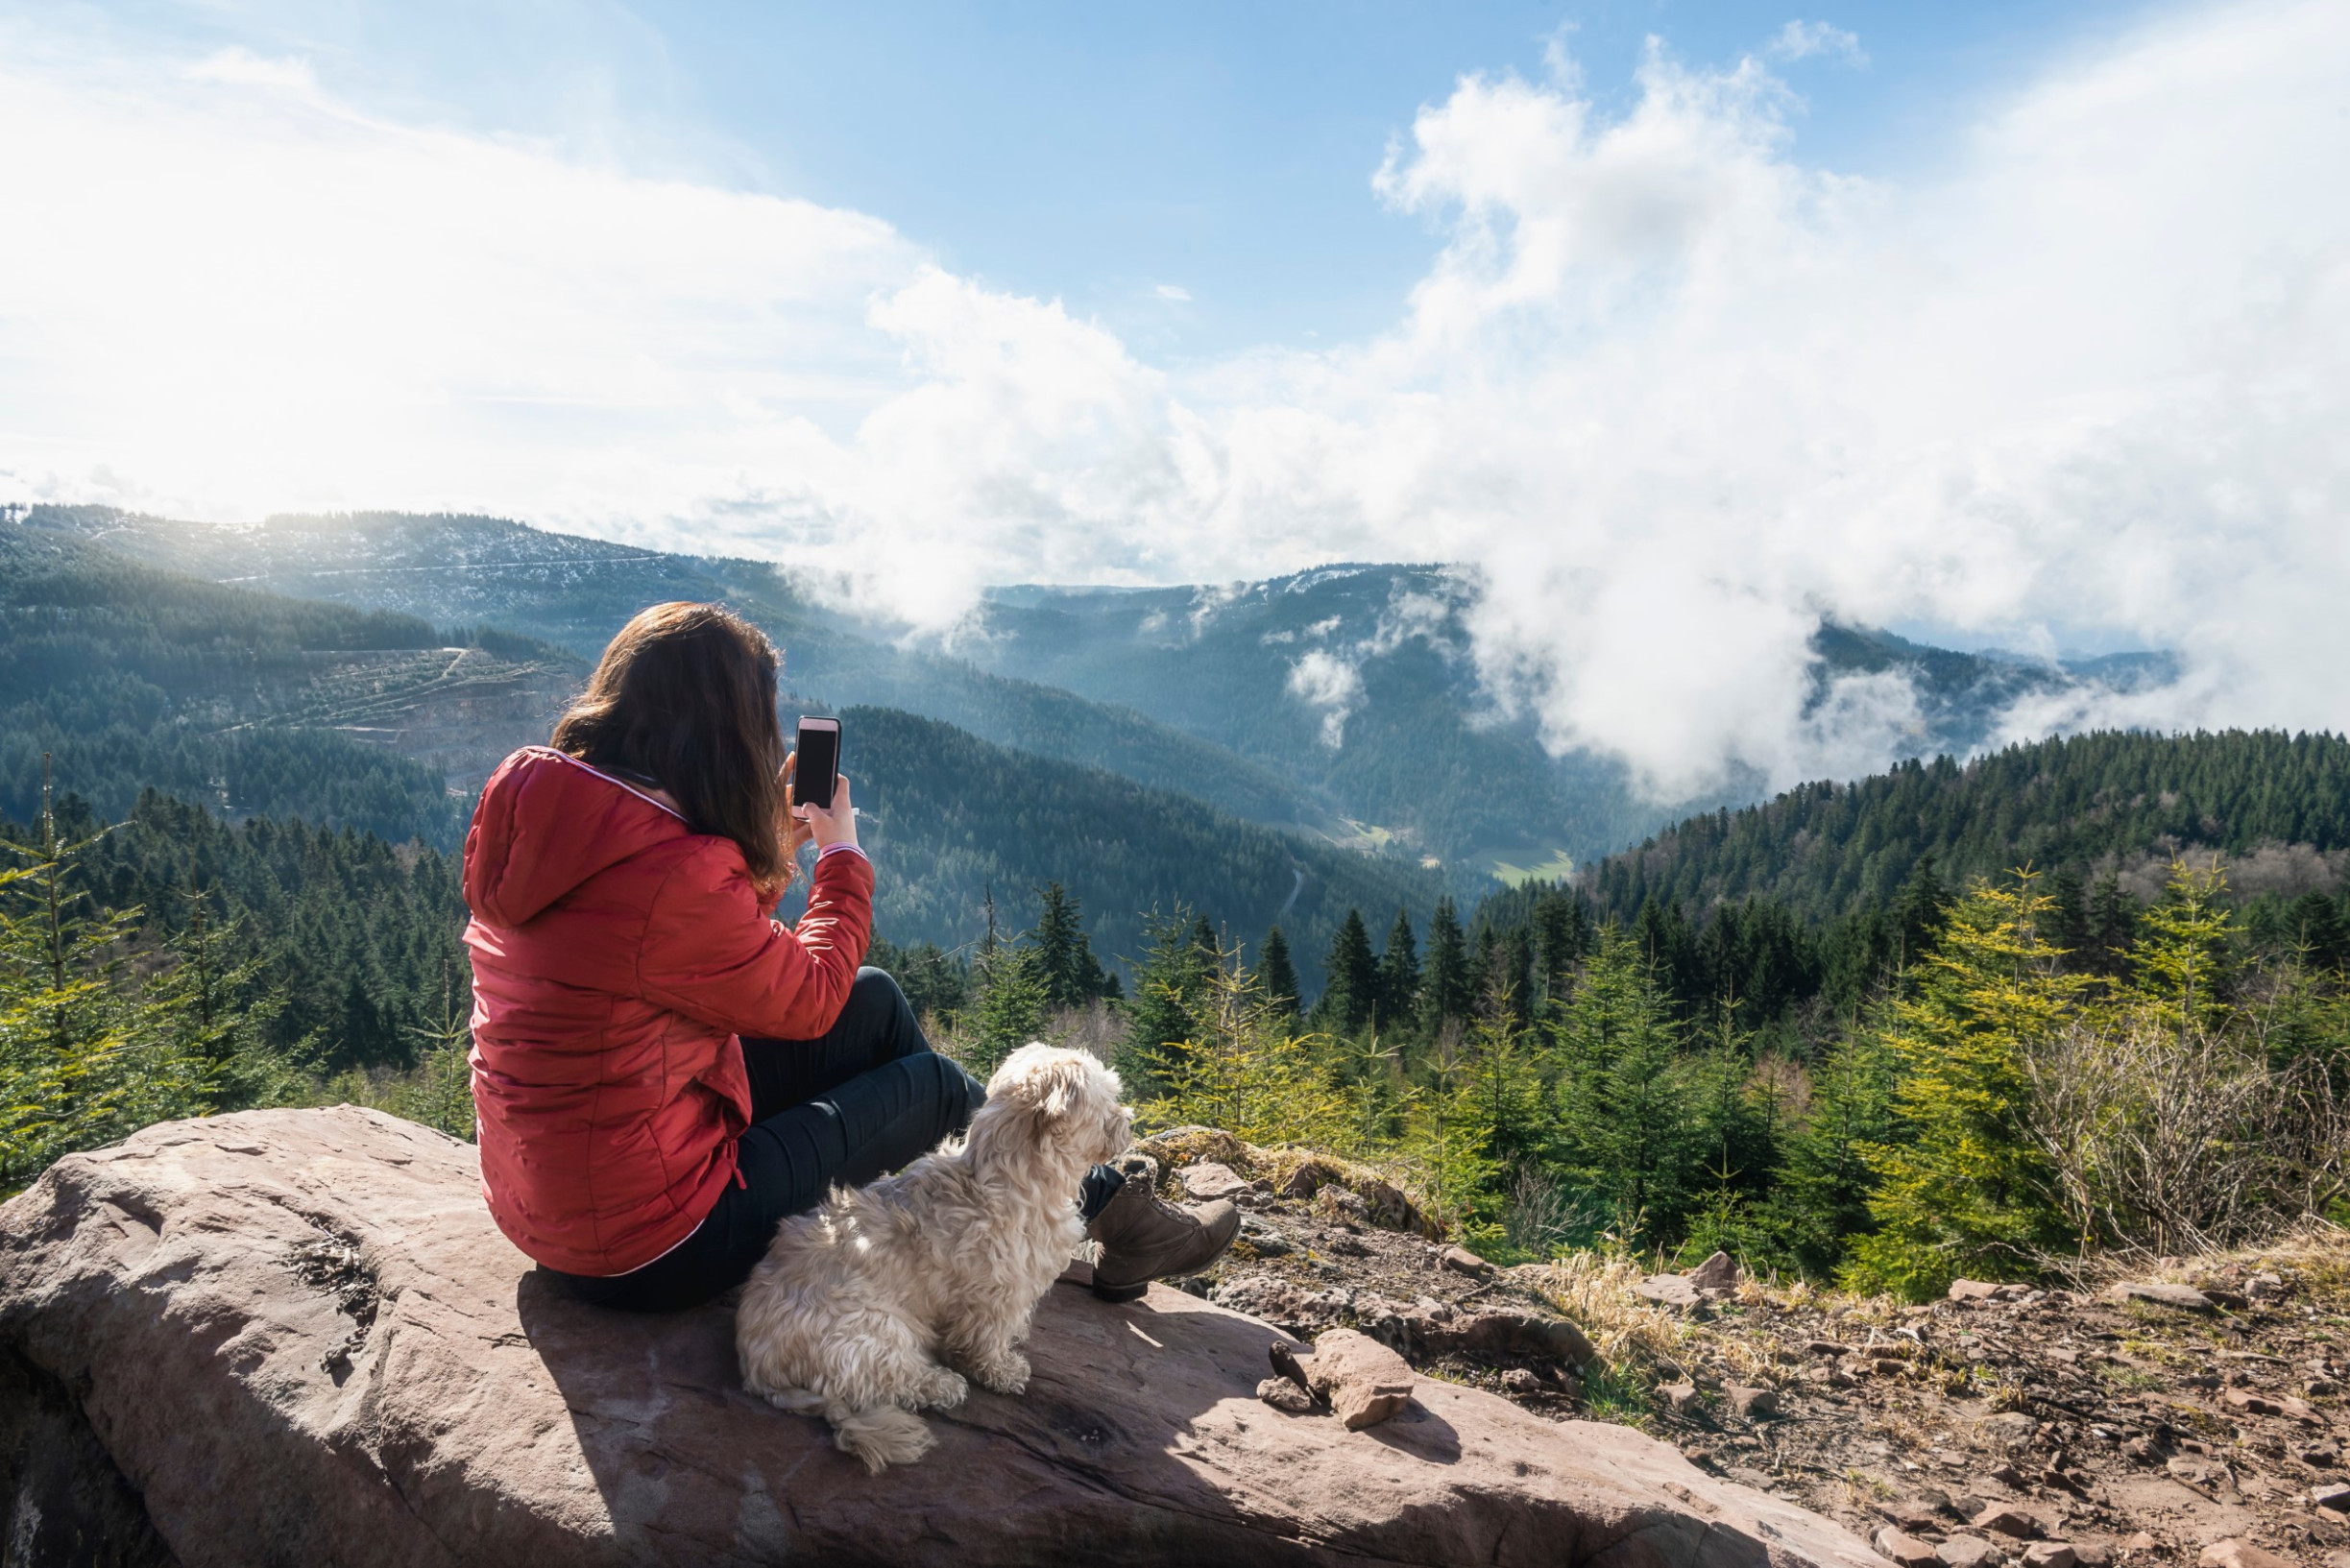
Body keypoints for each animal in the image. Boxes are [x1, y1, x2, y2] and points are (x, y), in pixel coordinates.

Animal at [738, 1044, 1132, 1476]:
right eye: (1109, 1100)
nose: (1129, 1122)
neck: (1003, 1175)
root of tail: (758, 1370)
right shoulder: (995, 1294)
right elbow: (987, 1342)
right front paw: (1003, 1371)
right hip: (873, 1330)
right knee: (886, 1380)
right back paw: (942, 1384)